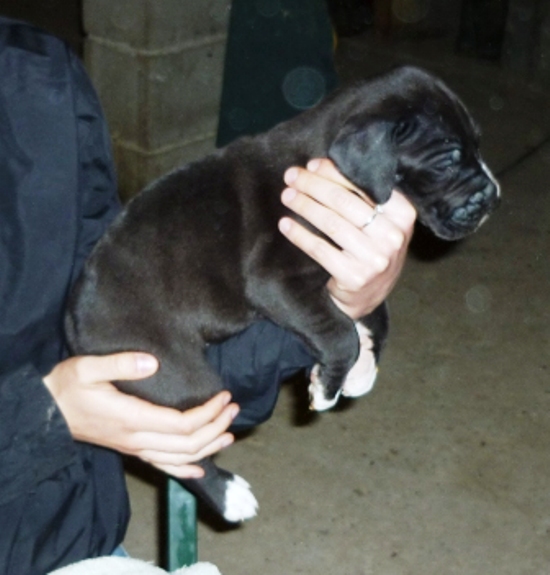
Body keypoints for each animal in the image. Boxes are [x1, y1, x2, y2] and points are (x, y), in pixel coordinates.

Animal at [65, 66, 500, 523]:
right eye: (448, 159)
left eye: (477, 145)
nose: (493, 197)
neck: (334, 168)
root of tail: (73, 320)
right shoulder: (274, 279)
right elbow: (340, 333)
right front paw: (327, 388)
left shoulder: (342, 273)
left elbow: (375, 314)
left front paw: (361, 371)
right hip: (179, 377)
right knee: (178, 452)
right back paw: (230, 495)